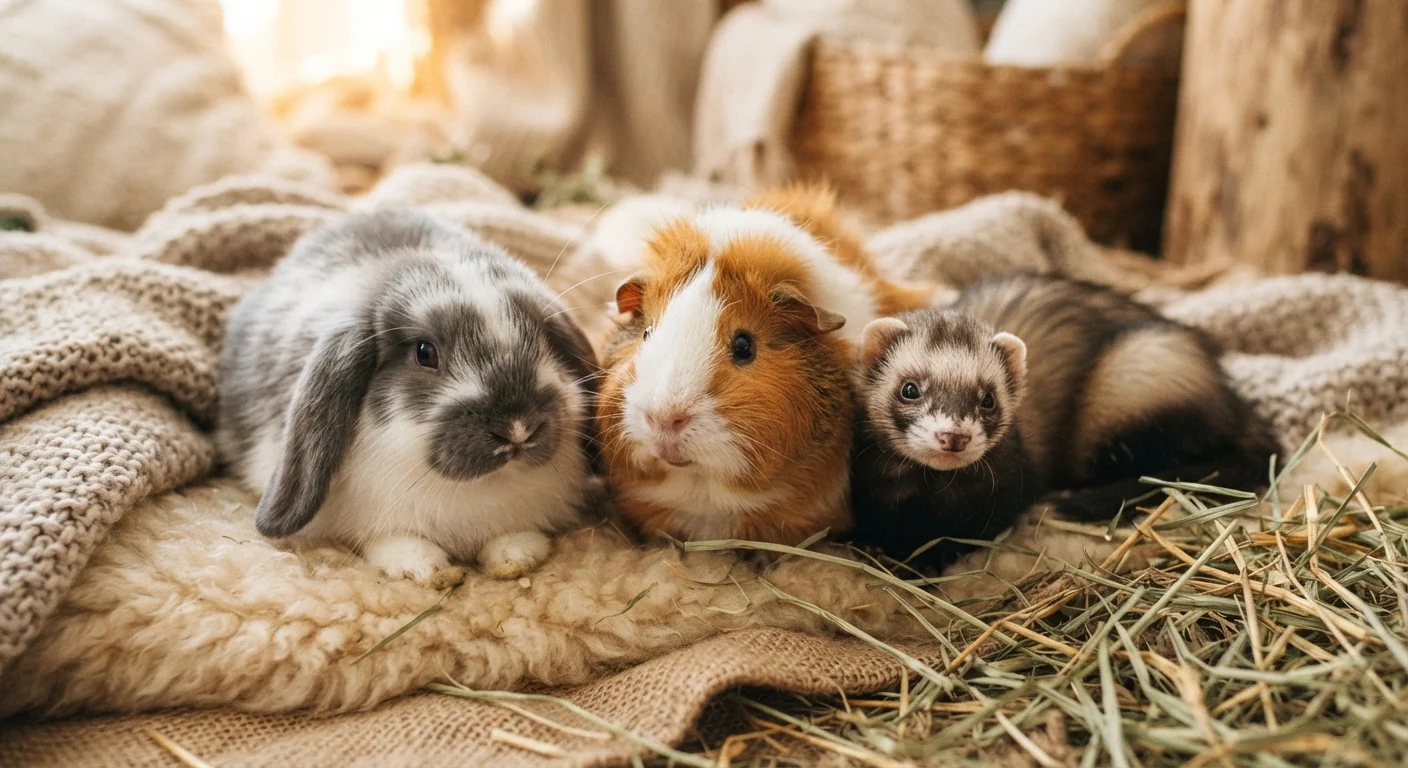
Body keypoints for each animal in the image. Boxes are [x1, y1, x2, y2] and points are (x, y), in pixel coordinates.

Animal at [215, 208, 600, 583]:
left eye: (545, 339)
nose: (518, 427)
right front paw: (425, 567)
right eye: (424, 353)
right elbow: (396, 540)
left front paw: (516, 556)